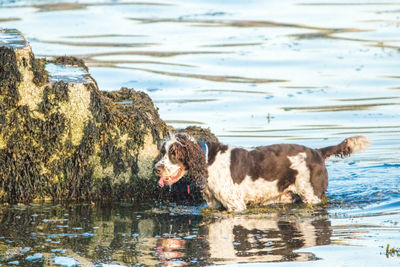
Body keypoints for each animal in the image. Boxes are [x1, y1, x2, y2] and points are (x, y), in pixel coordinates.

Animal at [155, 133, 370, 213]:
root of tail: (318, 152)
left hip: (311, 195)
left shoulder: (236, 205)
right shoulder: (215, 204)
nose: (156, 168)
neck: (208, 161)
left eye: (174, 154)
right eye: (162, 151)